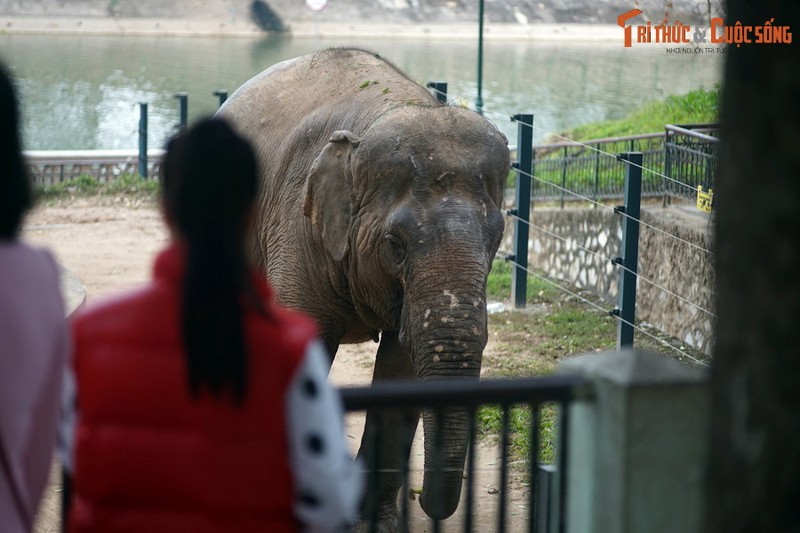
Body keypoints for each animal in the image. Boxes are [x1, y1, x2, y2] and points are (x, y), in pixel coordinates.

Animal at [216, 48, 510, 528]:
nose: (423, 500)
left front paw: (374, 523)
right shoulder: (297, 226)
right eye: (396, 244)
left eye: (497, 238)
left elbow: (400, 365)